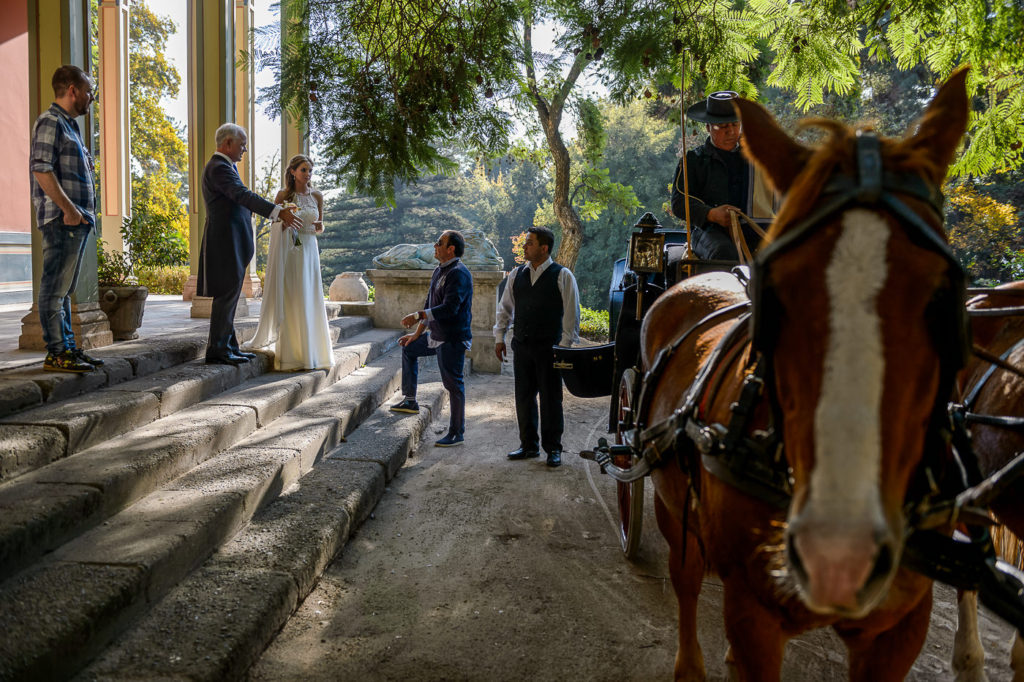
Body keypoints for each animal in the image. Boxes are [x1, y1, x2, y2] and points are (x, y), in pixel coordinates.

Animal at [638, 70, 966, 679]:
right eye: (779, 295)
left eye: (943, 295)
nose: (839, 552)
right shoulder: (754, 614)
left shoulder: (901, 625)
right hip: (672, 502)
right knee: (686, 578)